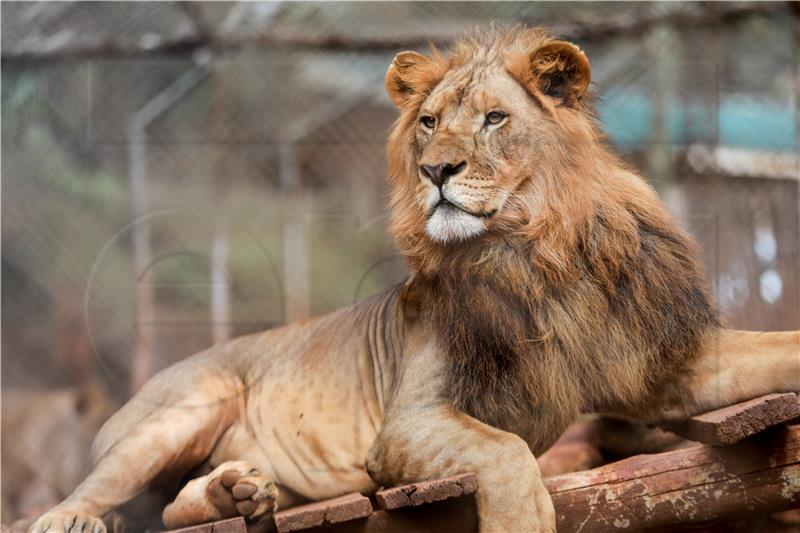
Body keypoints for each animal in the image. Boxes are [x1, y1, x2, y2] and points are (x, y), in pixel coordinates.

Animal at [28, 23, 796, 532]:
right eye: (427, 124)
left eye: (494, 119)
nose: (436, 171)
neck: (534, 253)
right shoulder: (408, 423)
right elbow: (508, 451)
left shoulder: (666, 366)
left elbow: (779, 346)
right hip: (184, 408)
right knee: (90, 494)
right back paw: (73, 517)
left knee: (173, 505)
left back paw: (238, 495)